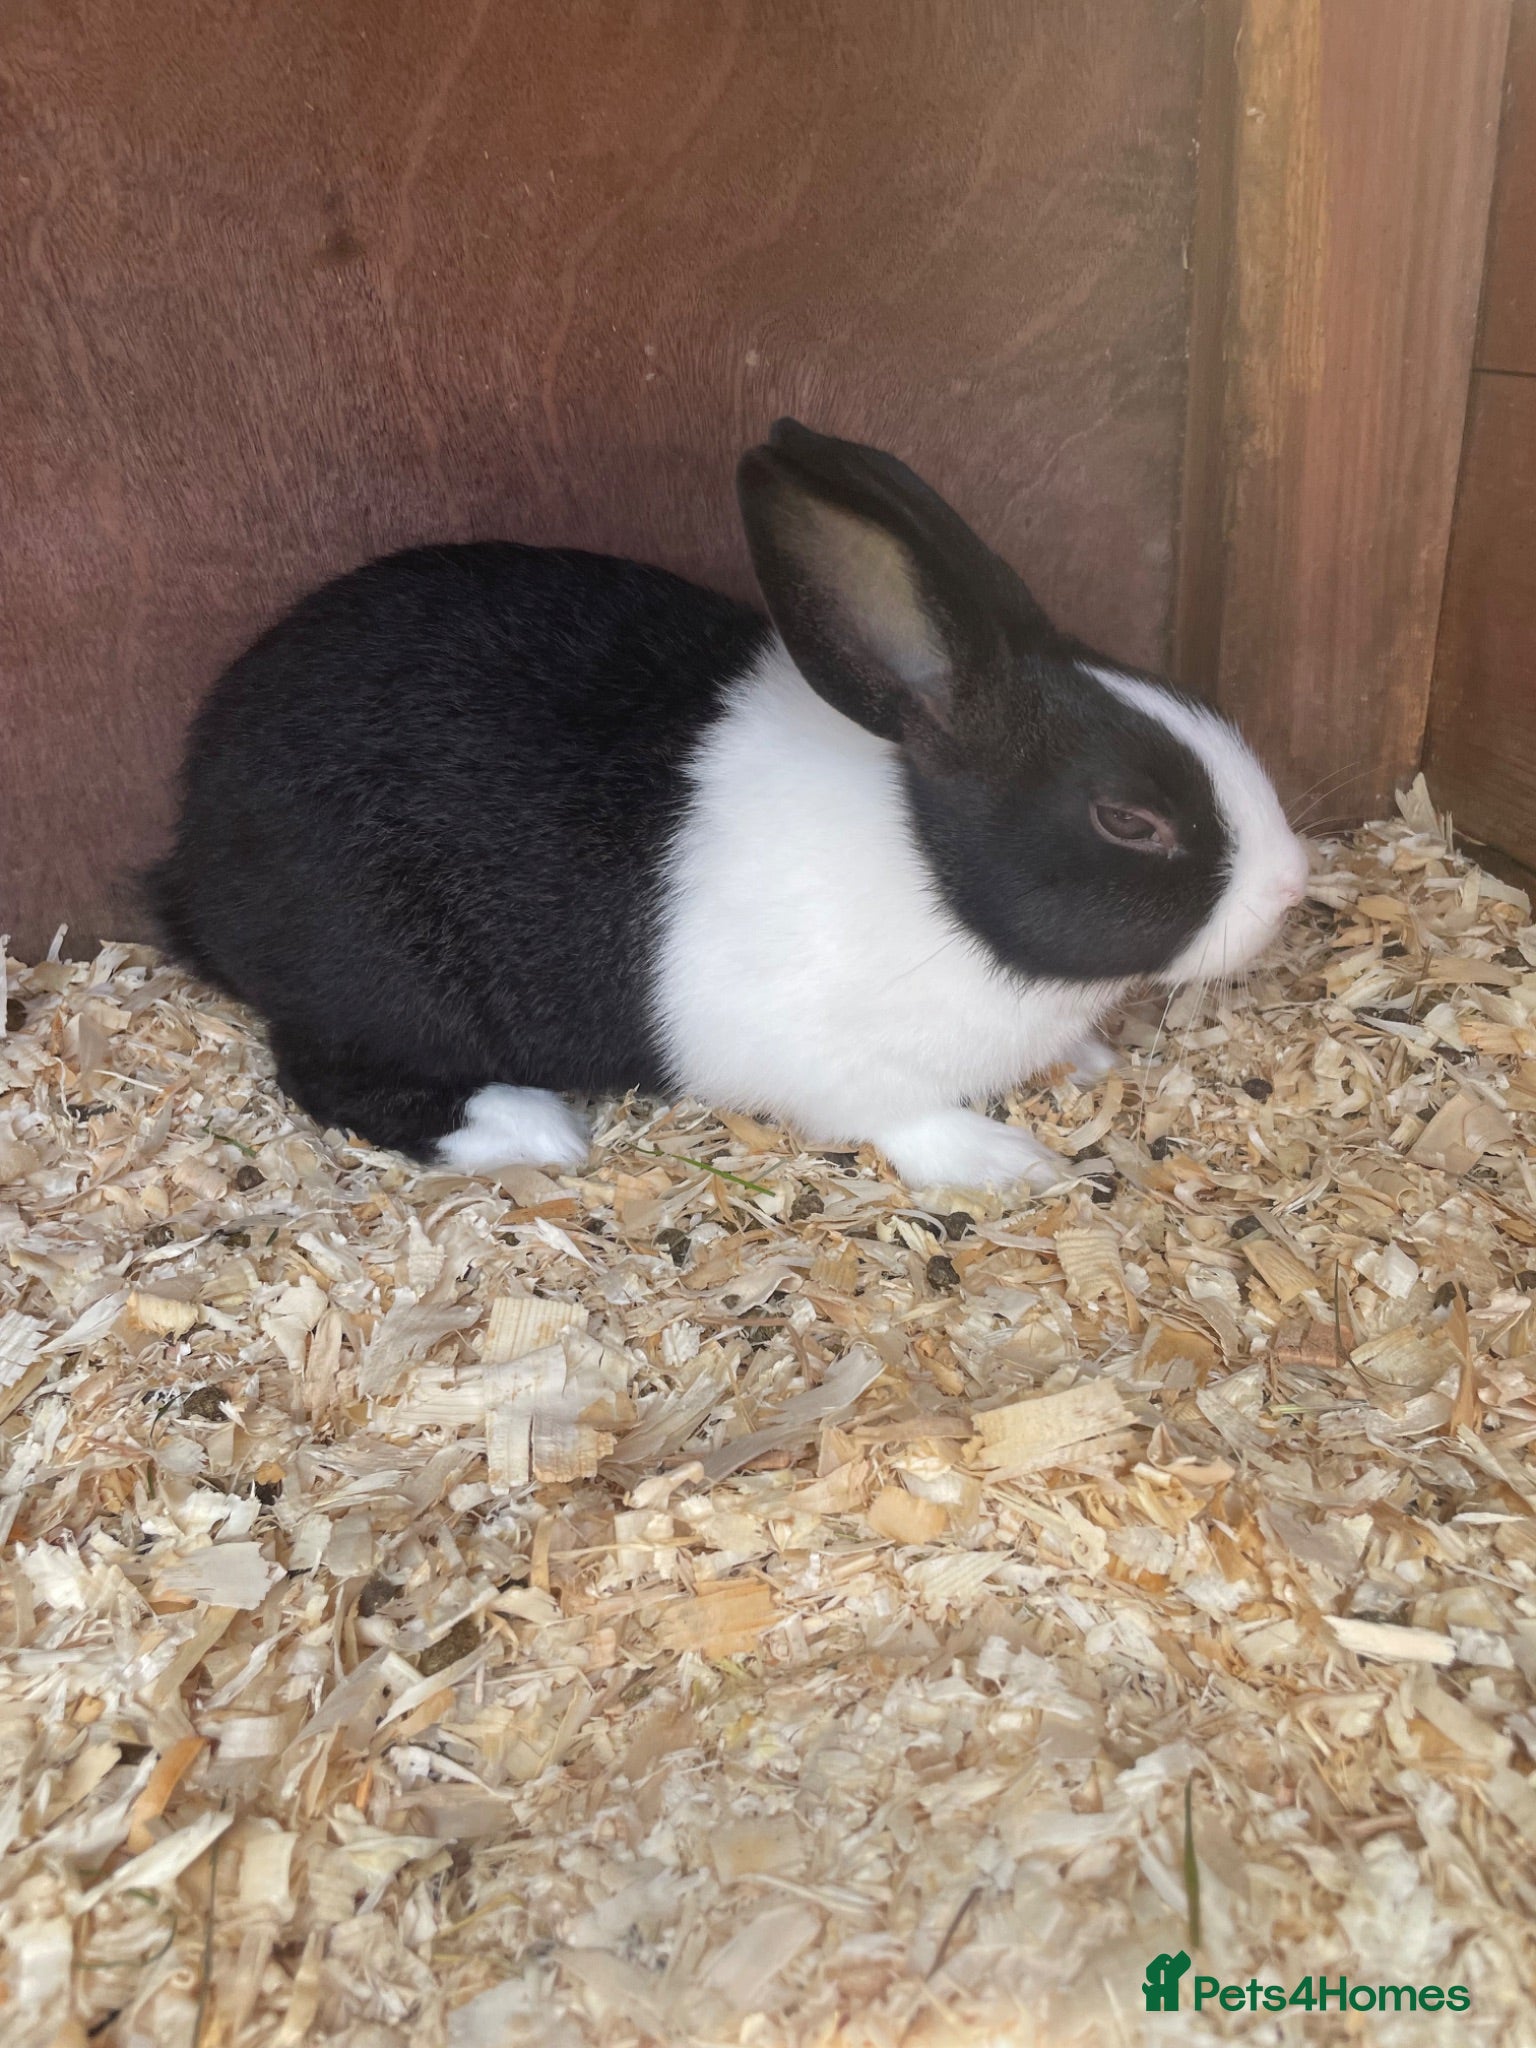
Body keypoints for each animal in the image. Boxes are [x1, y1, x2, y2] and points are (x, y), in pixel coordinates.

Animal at [149, 419, 1309, 1192]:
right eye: (1129, 820)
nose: (1291, 886)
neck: (932, 875)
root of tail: (194, 853)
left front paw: (1087, 1061)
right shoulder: (837, 1066)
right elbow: (907, 1121)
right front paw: (1009, 1161)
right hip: (381, 982)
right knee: (329, 1073)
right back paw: (528, 1130)